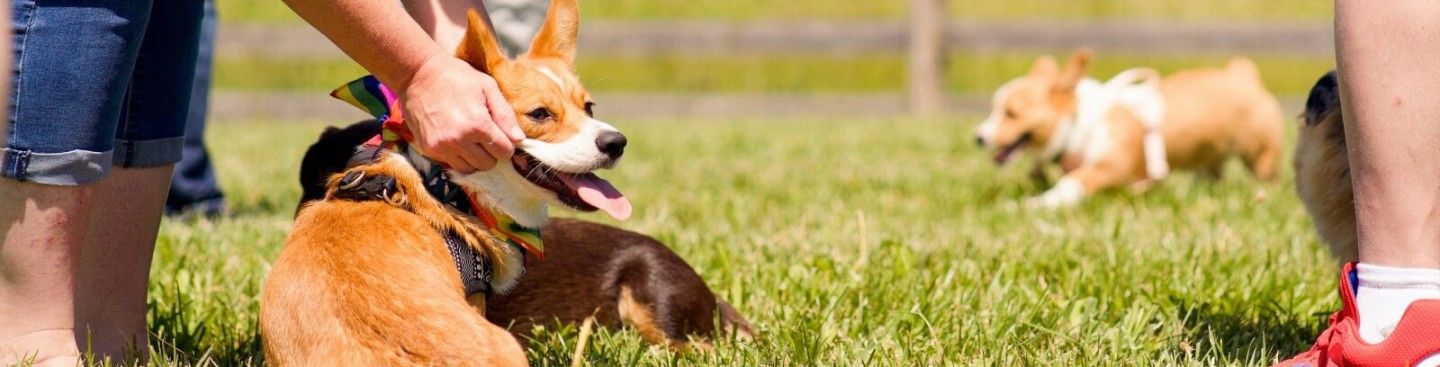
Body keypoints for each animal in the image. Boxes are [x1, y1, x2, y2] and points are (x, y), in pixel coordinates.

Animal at [973, 49, 1290, 207]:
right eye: (993, 109)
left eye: (1011, 113)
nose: (978, 137)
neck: (1079, 122)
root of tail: (1244, 75)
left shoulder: (1112, 164)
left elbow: (1071, 183)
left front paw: (1040, 203)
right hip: (1210, 156)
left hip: (1258, 155)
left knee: (1268, 176)